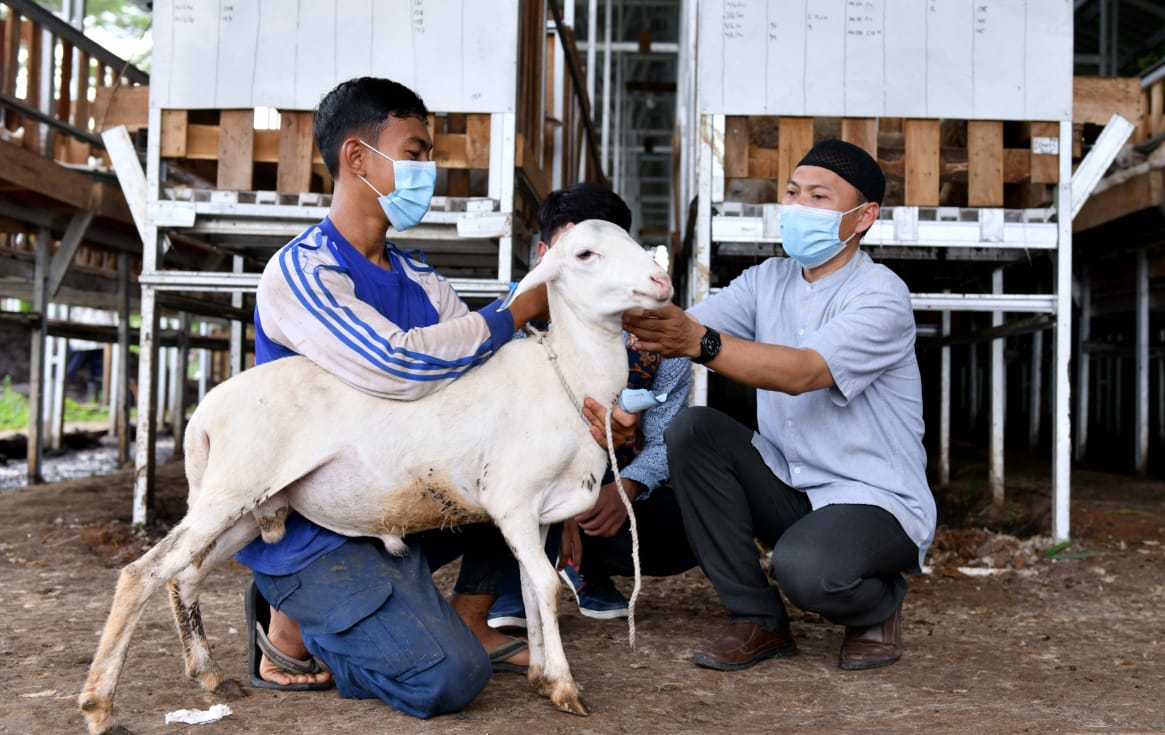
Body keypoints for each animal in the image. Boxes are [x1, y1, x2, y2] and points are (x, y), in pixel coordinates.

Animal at [79, 220, 675, 735]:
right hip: (233, 486)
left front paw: (543, 677)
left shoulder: (541, 513)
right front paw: (566, 688)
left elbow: (532, 589)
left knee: (185, 575)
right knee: (142, 574)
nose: (662, 282)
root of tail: (203, 414)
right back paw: (101, 706)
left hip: (249, 504)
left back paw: (210, 675)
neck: (569, 375)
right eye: (585, 254)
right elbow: (549, 588)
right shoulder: (512, 500)